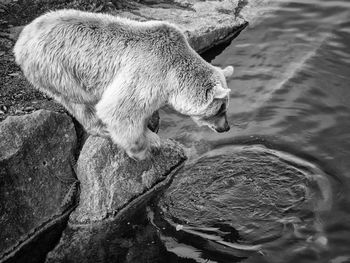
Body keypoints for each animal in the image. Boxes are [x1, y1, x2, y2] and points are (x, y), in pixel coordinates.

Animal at [13, 9, 234, 161]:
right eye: (221, 108)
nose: (226, 127)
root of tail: (22, 39)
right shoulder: (149, 71)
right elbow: (120, 110)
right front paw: (143, 149)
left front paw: (149, 132)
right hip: (59, 68)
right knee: (78, 102)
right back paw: (100, 128)